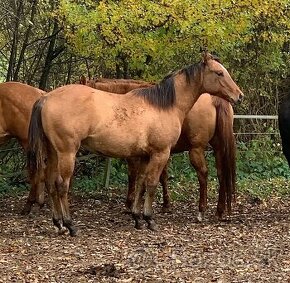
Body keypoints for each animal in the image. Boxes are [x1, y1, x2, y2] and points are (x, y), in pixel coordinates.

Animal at [127, 93, 236, 222]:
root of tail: (215, 98)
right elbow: (162, 176)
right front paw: (166, 205)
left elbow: (133, 175)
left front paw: (130, 203)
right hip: (218, 147)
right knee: (221, 173)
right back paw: (219, 211)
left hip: (196, 149)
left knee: (203, 174)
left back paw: (201, 211)